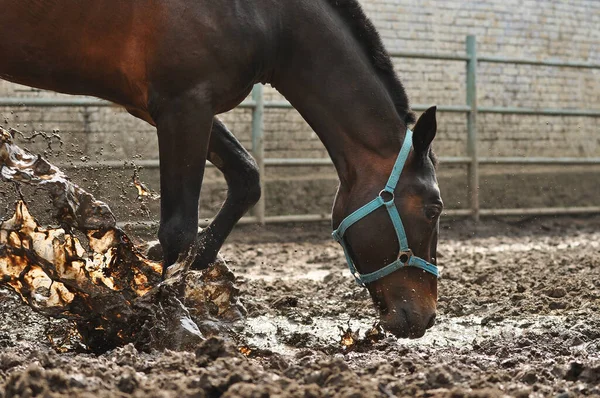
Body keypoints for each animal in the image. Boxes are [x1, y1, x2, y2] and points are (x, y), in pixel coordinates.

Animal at [0, 0, 440, 338]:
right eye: (434, 209)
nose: (426, 317)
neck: (270, 16)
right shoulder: (184, 103)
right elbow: (178, 229)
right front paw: (173, 323)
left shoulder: (173, 107)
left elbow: (247, 177)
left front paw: (192, 267)